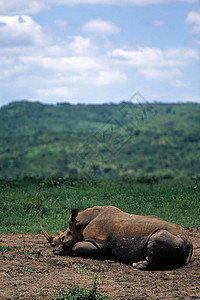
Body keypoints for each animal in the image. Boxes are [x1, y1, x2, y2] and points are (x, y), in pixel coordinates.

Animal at [40, 206, 192, 270]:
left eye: (63, 237)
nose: (54, 251)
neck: (78, 225)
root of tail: (189, 240)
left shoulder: (98, 243)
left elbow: (77, 246)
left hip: (171, 236)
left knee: (155, 239)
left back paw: (137, 265)